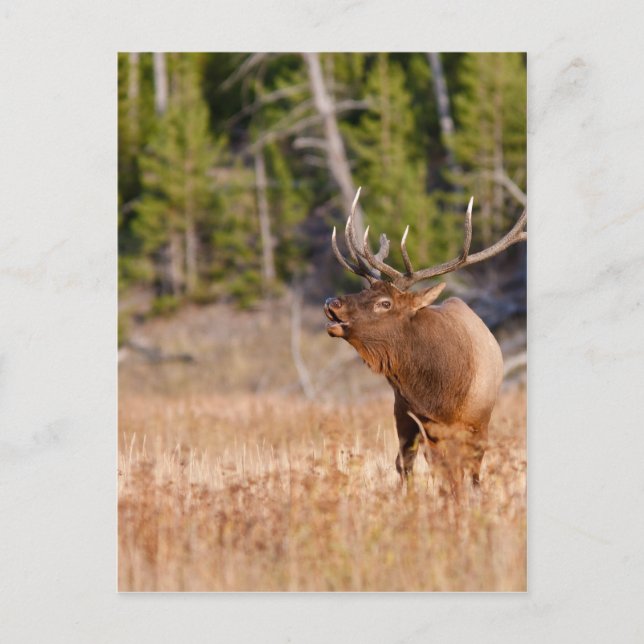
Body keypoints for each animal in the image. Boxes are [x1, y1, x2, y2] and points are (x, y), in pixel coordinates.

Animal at [324, 188, 527, 493]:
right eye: (363, 290)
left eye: (385, 303)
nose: (331, 302)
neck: (441, 393)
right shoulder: (417, 420)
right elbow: (432, 470)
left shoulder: (477, 423)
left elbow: (468, 474)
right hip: (404, 416)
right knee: (406, 464)